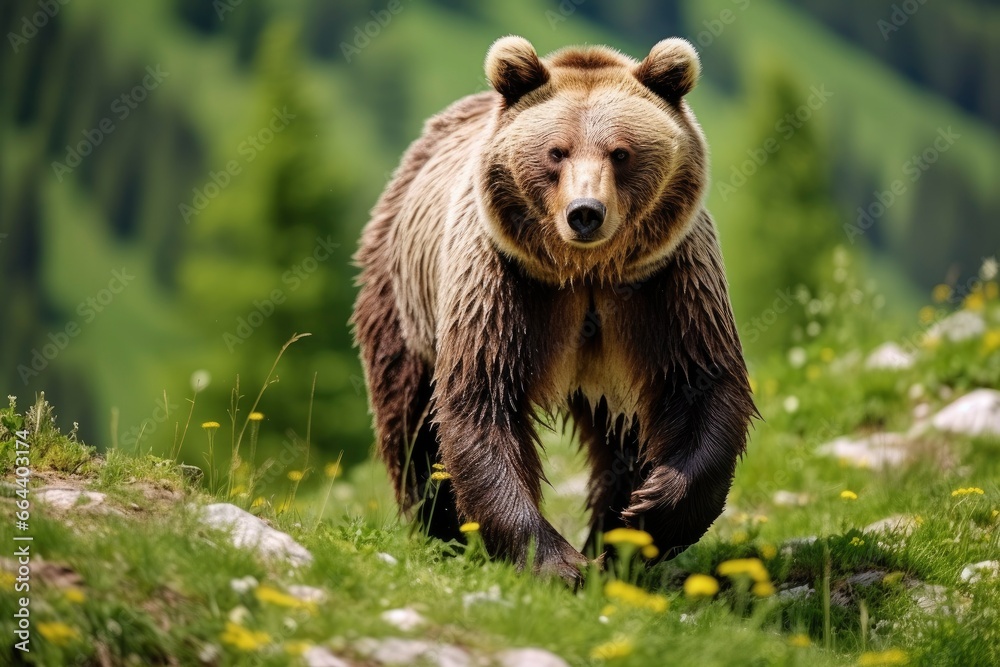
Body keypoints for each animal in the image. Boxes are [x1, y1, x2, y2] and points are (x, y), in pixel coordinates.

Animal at [352, 35, 756, 582]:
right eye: (556, 152)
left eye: (620, 153)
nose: (585, 212)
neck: (586, 274)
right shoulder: (505, 283)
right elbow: (483, 400)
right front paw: (557, 562)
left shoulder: (666, 283)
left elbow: (702, 383)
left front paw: (647, 513)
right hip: (403, 298)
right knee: (409, 418)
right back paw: (440, 530)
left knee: (622, 440)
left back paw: (612, 537)